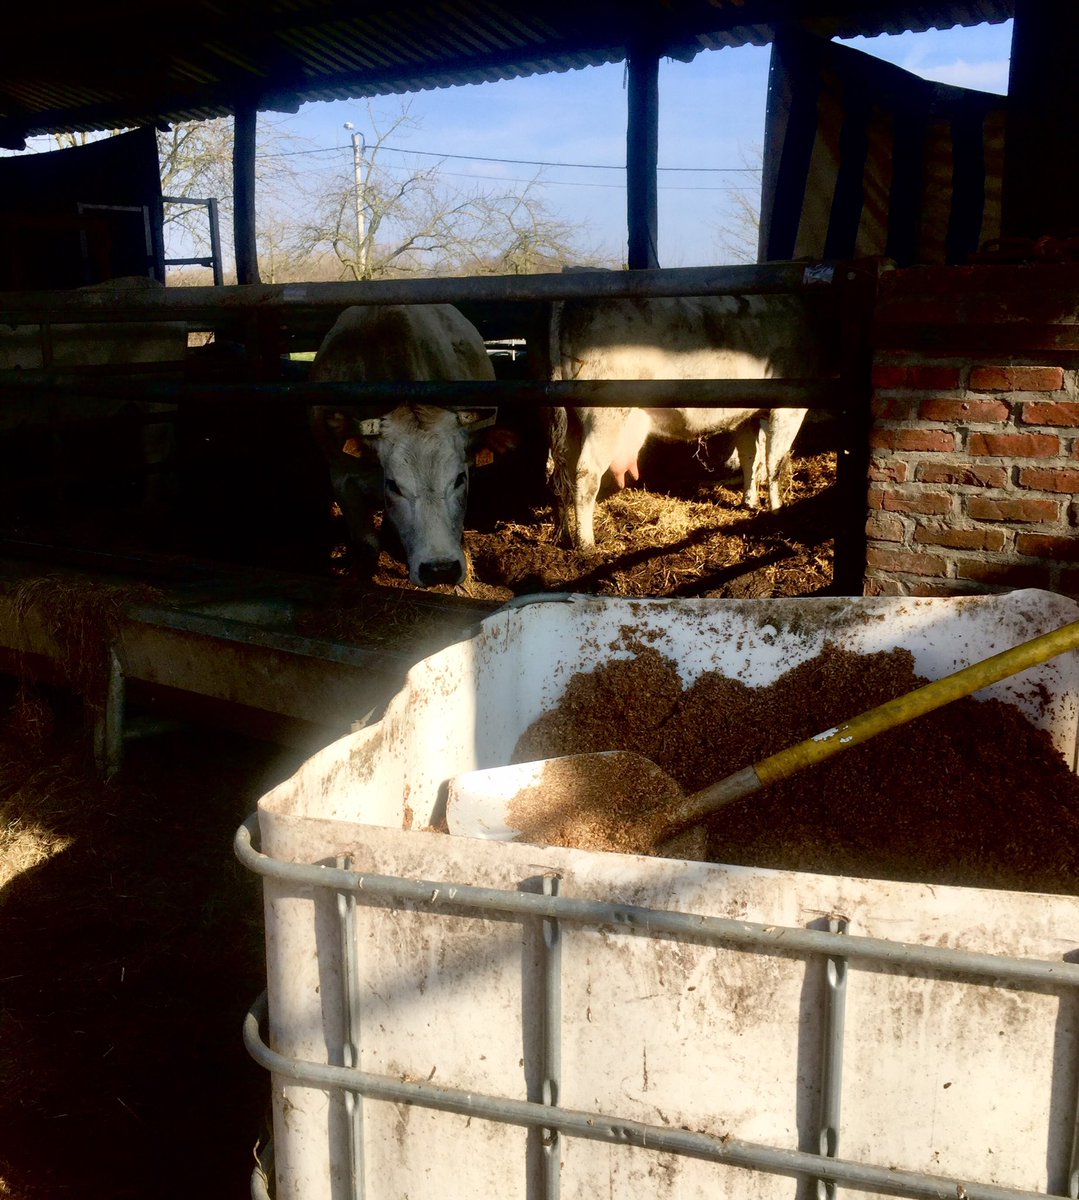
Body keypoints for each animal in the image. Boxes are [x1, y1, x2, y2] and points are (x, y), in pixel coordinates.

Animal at [546, 292, 835, 551]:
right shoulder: (790, 405)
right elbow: (775, 461)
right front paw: (778, 512)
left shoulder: (747, 415)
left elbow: (750, 458)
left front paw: (750, 502)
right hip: (606, 417)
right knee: (586, 473)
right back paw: (586, 544)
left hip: (574, 422)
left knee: (566, 471)